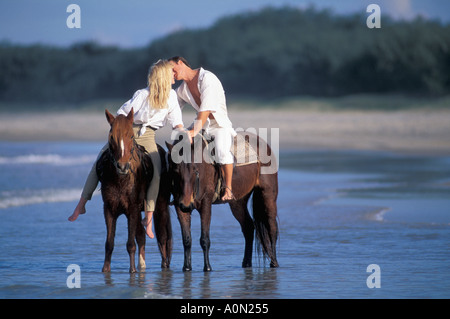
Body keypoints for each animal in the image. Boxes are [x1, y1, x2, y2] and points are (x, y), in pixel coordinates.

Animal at [96, 109, 172, 274]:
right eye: (111, 137)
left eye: (131, 135)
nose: (122, 166)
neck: (121, 179)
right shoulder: (109, 209)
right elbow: (109, 243)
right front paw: (106, 269)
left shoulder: (132, 209)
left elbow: (131, 243)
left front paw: (132, 271)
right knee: (142, 236)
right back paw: (142, 265)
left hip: (160, 206)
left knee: (162, 236)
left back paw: (164, 264)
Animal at [167, 131, 280, 272]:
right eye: (176, 170)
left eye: (195, 169)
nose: (187, 204)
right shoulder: (180, 207)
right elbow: (186, 239)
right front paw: (186, 268)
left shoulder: (206, 204)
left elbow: (204, 239)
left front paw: (207, 268)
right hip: (237, 202)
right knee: (248, 227)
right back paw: (246, 263)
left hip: (268, 196)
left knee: (272, 228)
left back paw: (274, 262)